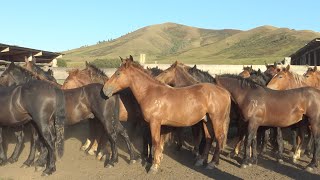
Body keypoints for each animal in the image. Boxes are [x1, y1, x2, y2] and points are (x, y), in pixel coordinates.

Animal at [102, 56, 230, 173]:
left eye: (118, 73)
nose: (104, 90)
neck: (150, 92)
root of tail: (224, 92)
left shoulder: (154, 123)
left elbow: (155, 142)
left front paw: (154, 166)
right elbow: (157, 143)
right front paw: (157, 160)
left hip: (216, 120)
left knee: (219, 138)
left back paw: (212, 163)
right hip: (206, 120)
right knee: (209, 138)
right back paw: (200, 161)